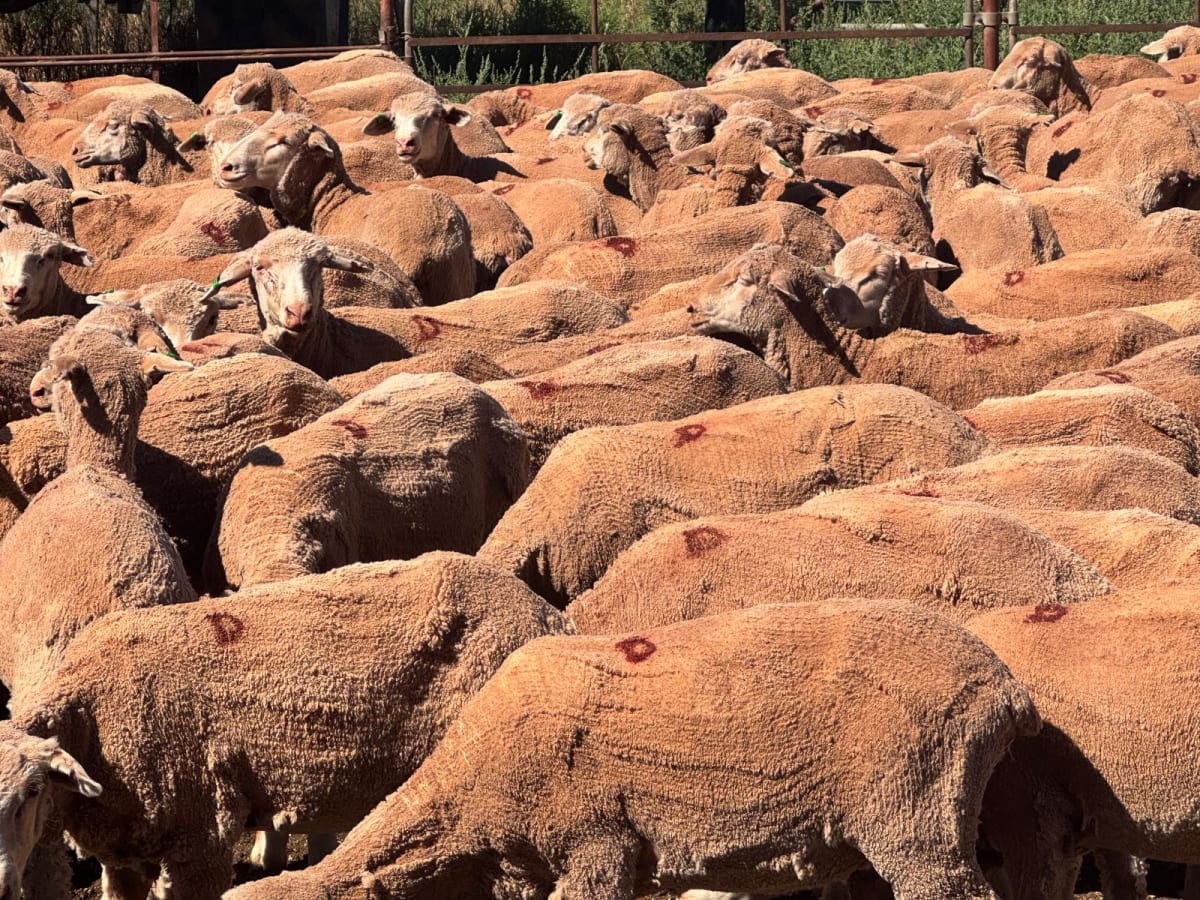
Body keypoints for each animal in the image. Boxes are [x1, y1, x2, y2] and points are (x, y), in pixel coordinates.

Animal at [0, 552, 569, 900]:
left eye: (30, 793)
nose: (3, 886)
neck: (92, 714)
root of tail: (545, 613)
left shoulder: (200, 839)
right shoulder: (122, 852)